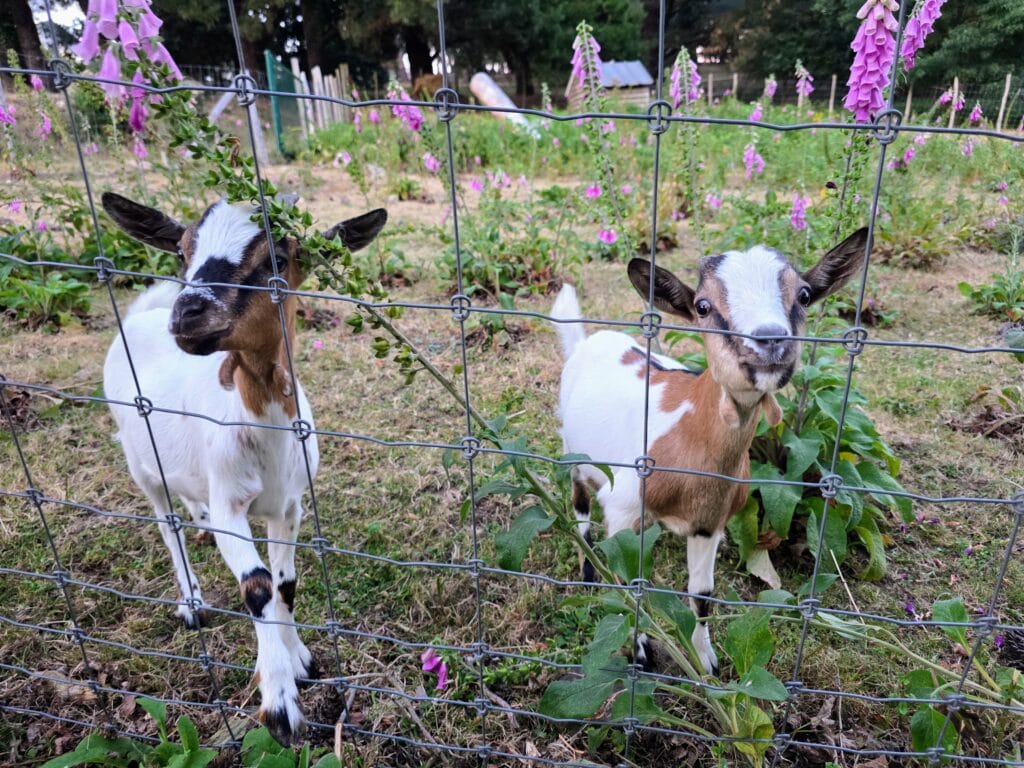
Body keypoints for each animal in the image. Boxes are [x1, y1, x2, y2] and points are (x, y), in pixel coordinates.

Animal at [101, 192, 387, 744]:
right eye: (182, 252)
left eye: (279, 256)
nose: (188, 313)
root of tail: (143, 315)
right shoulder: (231, 503)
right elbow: (256, 586)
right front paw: (279, 703)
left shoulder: (290, 505)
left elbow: (285, 583)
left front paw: (300, 659)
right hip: (138, 460)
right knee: (165, 522)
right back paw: (191, 603)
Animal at [552, 229, 869, 675]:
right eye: (703, 306)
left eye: (805, 295)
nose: (770, 341)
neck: (689, 438)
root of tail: (589, 339)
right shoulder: (622, 507)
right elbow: (630, 583)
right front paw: (639, 653)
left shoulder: (710, 522)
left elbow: (702, 595)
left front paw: (707, 663)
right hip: (573, 450)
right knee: (579, 502)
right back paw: (586, 571)